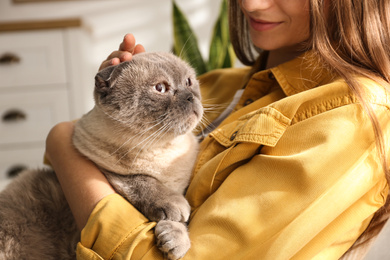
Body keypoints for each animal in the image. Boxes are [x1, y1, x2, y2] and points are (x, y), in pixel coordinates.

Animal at [0, 51, 204, 258]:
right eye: (160, 88)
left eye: (188, 82)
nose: (190, 96)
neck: (162, 151)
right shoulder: (107, 170)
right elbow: (142, 181)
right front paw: (175, 211)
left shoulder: (182, 187)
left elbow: (182, 222)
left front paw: (175, 242)